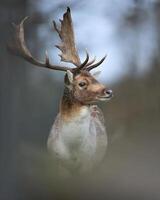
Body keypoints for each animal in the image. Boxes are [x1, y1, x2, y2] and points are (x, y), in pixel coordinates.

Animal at [8, 7, 112, 174]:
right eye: (82, 83)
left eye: (94, 78)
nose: (108, 91)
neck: (73, 151)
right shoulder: (57, 164)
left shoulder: (89, 163)